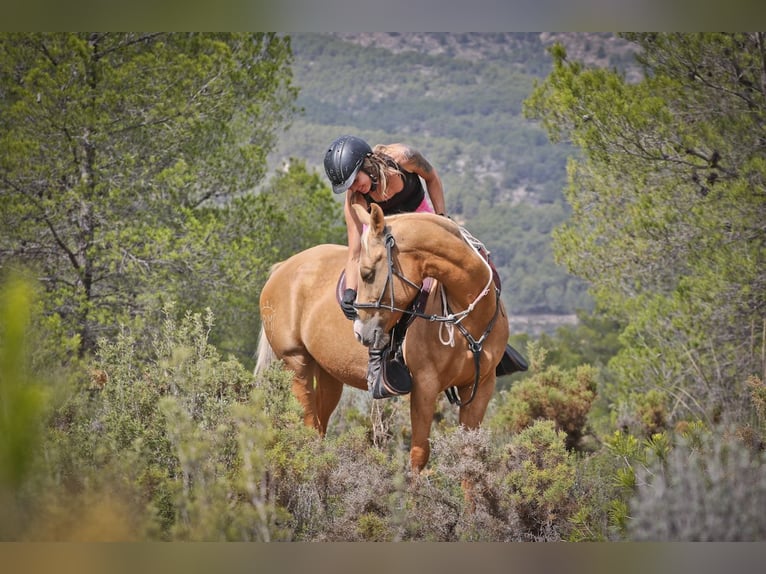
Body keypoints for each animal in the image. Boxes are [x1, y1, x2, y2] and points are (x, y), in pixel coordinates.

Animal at [255, 204, 512, 472]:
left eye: (367, 274)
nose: (360, 331)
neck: (467, 314)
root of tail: (282, 268)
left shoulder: (480, 387)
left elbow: (469, 455)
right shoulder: (425, 385)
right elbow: (419, 454)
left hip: (328, 373)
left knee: (320, 426)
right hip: (297, 364)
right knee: (308, 428)